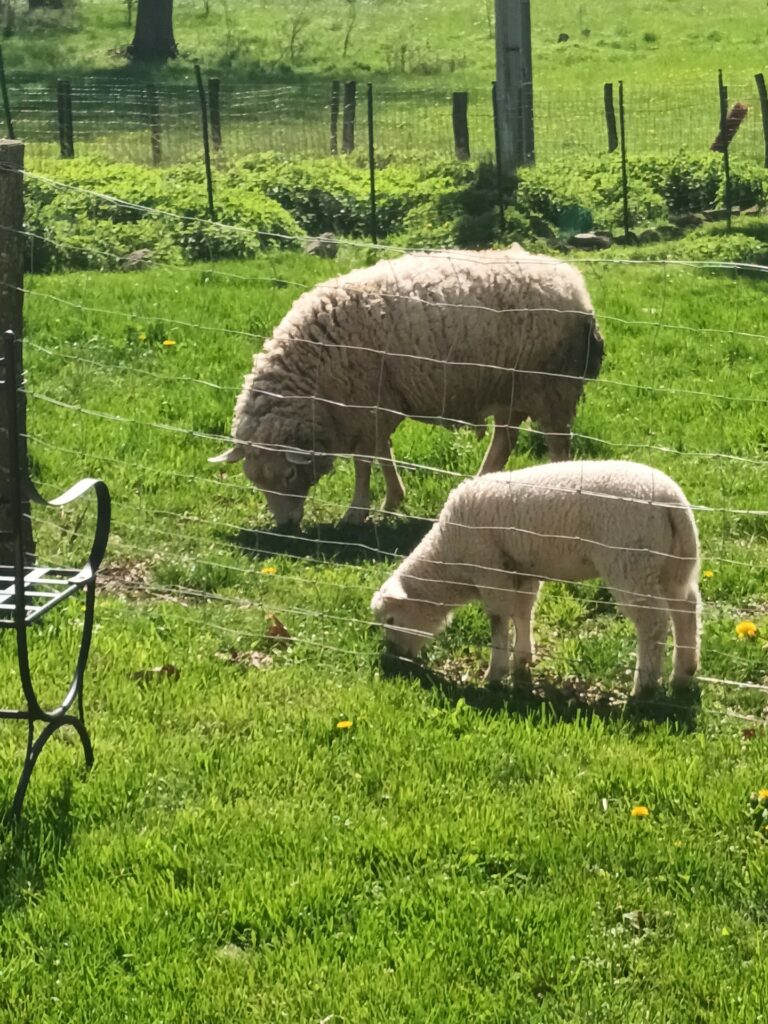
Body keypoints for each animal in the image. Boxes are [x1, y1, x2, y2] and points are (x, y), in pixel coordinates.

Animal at [210, 245, 606, 528]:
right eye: (255, 480)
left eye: (290, 473)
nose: (287, 526)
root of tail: (574, 283)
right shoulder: (378, 405)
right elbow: (382, 453)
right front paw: (391, 501)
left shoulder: (364, 404)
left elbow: (364, 462)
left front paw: (356, 512)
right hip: (510, 387)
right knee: (505, 440)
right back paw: (479, 484)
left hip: (553, 386)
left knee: (557, 445)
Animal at [372, 462, 704, 696]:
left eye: (390, 620)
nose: (393, 658)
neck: (449, 559)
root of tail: (673, 502)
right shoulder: (522, 570)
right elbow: (523, 612)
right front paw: (521, 664)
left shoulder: (488, 567)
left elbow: (498, 619)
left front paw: (495, 674)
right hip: (669, 564)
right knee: (686, 609)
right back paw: (683, 673)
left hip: (629, 560)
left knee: (654, 622)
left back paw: (644, 686)